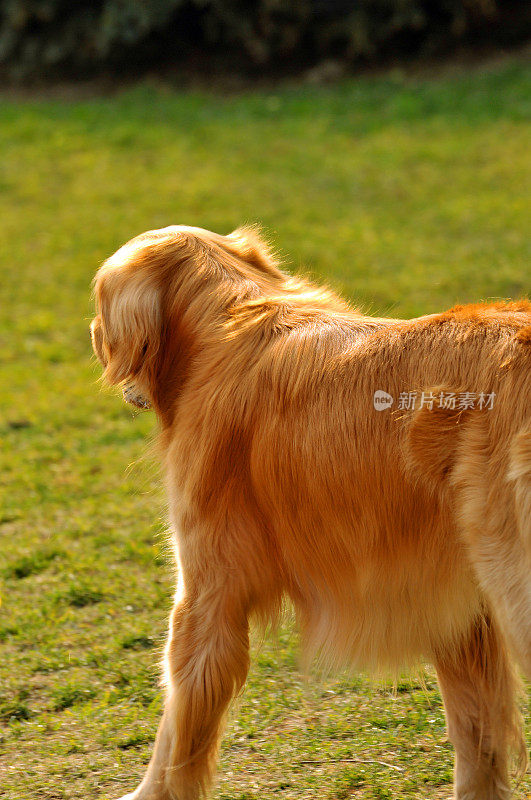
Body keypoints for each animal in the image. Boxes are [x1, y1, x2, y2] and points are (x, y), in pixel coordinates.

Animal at [89, 225, 528, 800]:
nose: (91, 333)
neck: (229, 317)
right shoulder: (458, 611)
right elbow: (478, 743)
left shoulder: (206, 594)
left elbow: (175, 730)